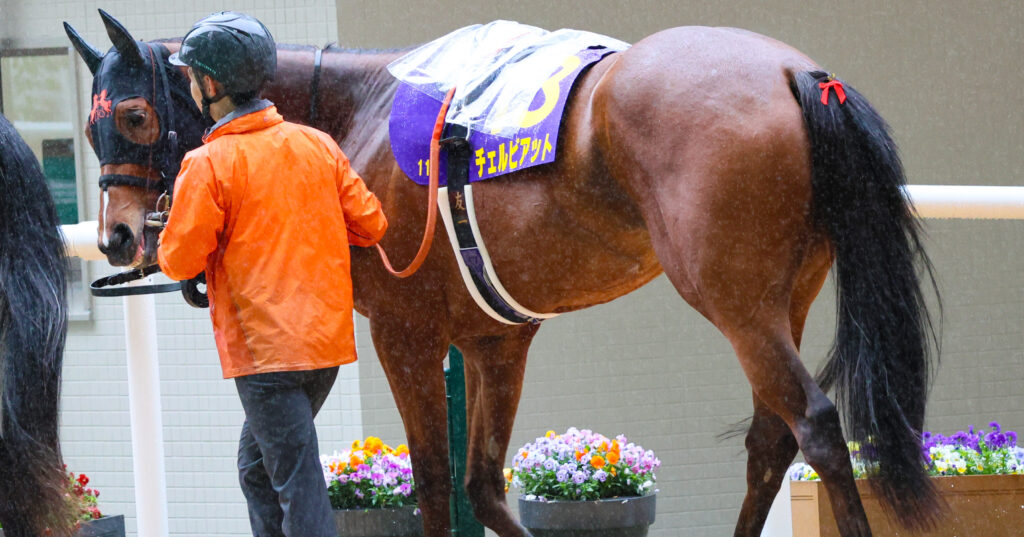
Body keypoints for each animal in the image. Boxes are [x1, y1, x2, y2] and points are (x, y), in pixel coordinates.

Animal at [66, 11, 941, 537]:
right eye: (88, 122)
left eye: (134, 115)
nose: (116, 236)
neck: (361, 110)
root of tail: (798, 76)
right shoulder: (497, 339)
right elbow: (484, 482)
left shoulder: (408, 335)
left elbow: (435, 478)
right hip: (781, 297)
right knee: (771, 436)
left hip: (734, 302)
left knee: (818, 425)